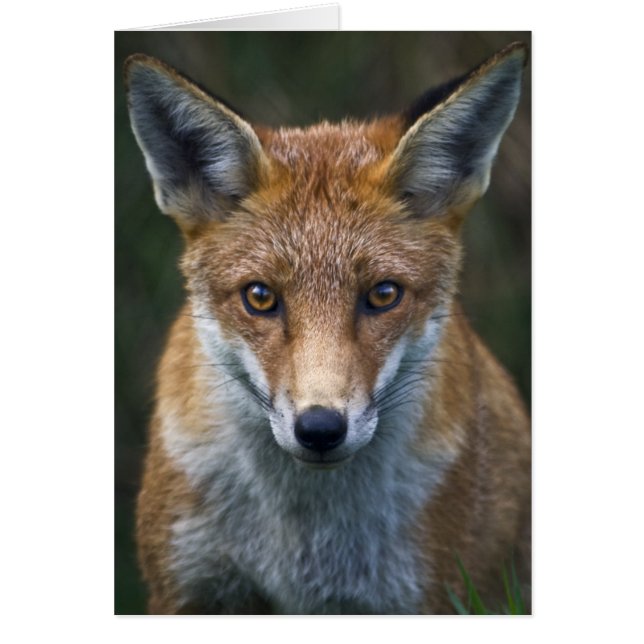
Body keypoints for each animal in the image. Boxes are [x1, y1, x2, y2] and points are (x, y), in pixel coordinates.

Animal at [124, 42, 531, 615]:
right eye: (260, 297)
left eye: (383, 295)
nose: (319, 429)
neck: (302, 549)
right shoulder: (186, 590)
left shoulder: (431, 596)